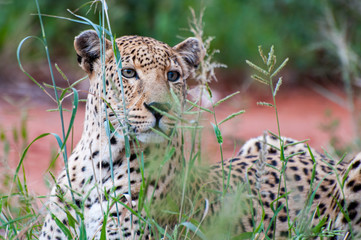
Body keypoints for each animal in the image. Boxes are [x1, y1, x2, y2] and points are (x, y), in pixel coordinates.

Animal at [39, 30, 360, 240]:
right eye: (128, 73)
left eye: (173, 76)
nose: (161, 108)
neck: (101, 160)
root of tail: (331, 161)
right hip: (265, 140)